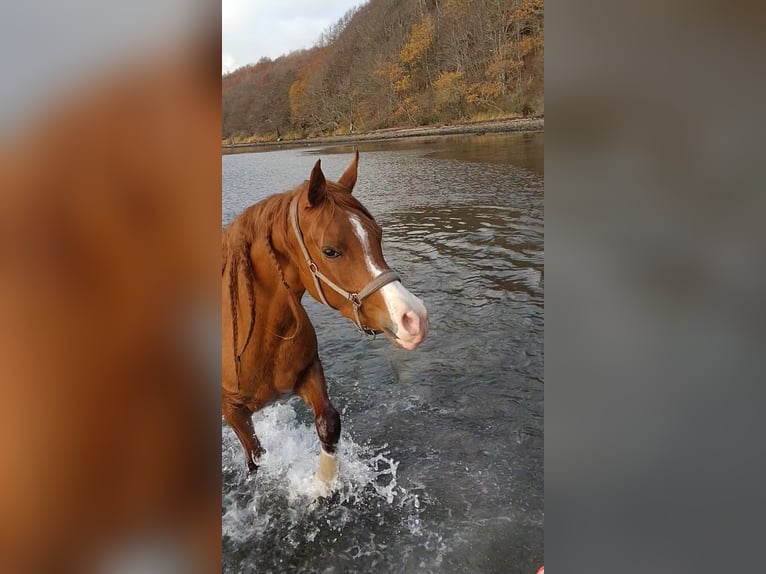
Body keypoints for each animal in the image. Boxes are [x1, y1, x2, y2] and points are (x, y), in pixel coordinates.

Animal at [222, 153, 428, 486]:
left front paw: (323, 484)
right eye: (330, 251)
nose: (414, 318)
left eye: (378, 235)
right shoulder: (233, 411)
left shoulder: (310, 372)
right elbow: (256, 458)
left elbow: (329, 424)